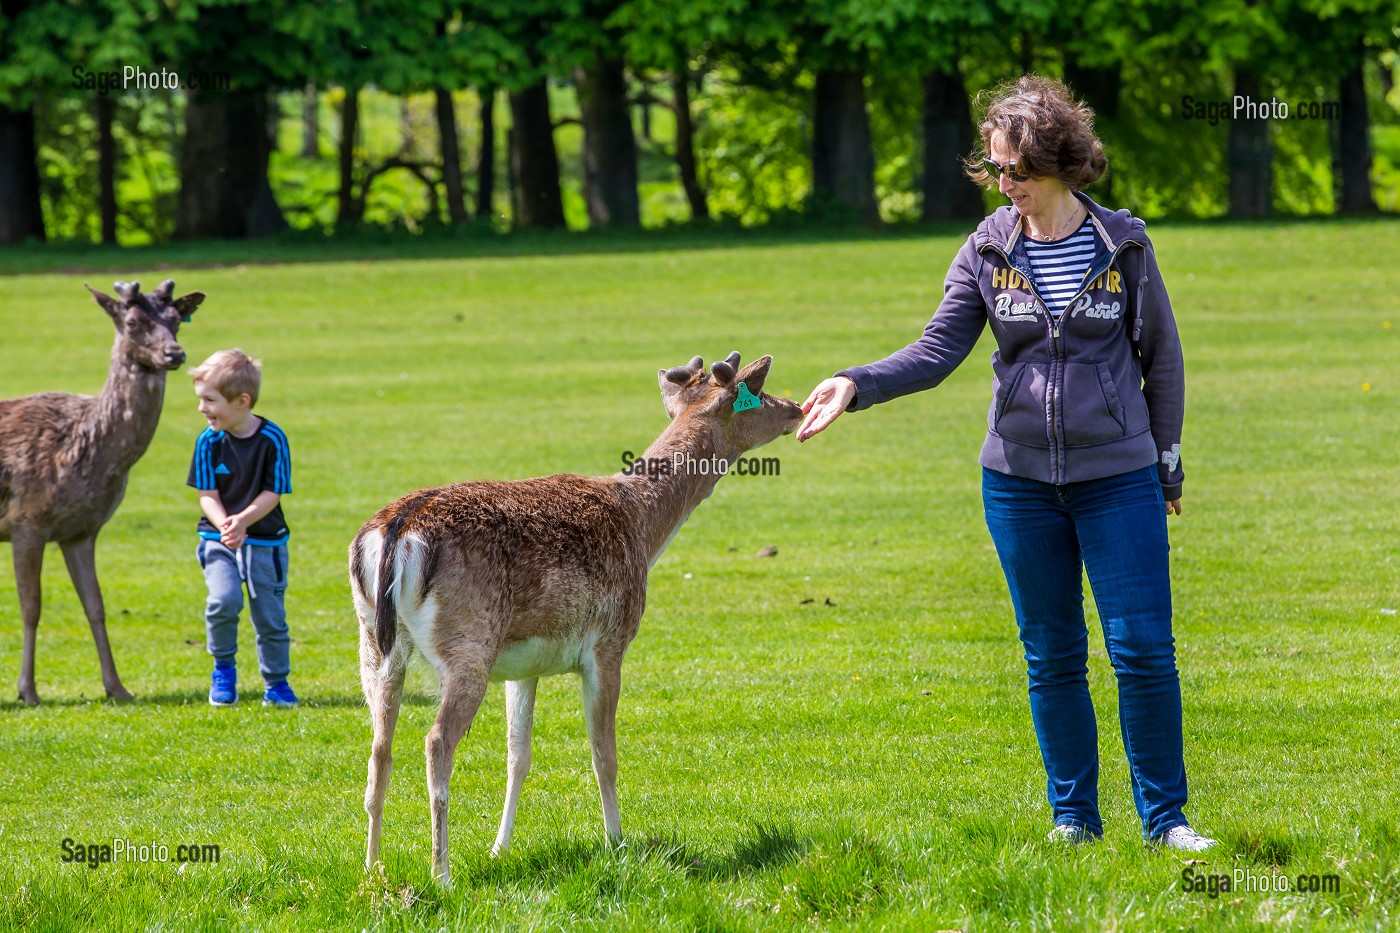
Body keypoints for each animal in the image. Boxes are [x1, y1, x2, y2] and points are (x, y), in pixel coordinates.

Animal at [0, 280, 205, 700]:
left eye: (176, 320)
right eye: (131, 321)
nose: (174, 353)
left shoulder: (81, 531)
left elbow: (95, 604)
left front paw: (117, 687)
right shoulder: (26, 520)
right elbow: (31, 607)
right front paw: (28, 691)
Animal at [352, 348, 800, 879]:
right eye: (759, 390)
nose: (796, 408)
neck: (643, 529)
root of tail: (396, 532)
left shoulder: (523, 665)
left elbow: (518, 755)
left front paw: (500, 848)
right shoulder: (610, 641)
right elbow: (603, 752)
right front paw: (617, 842)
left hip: (375, 646)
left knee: (379, 748)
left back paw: (372, 866)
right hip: (468, 645)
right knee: (436, 742)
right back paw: (440, 872)